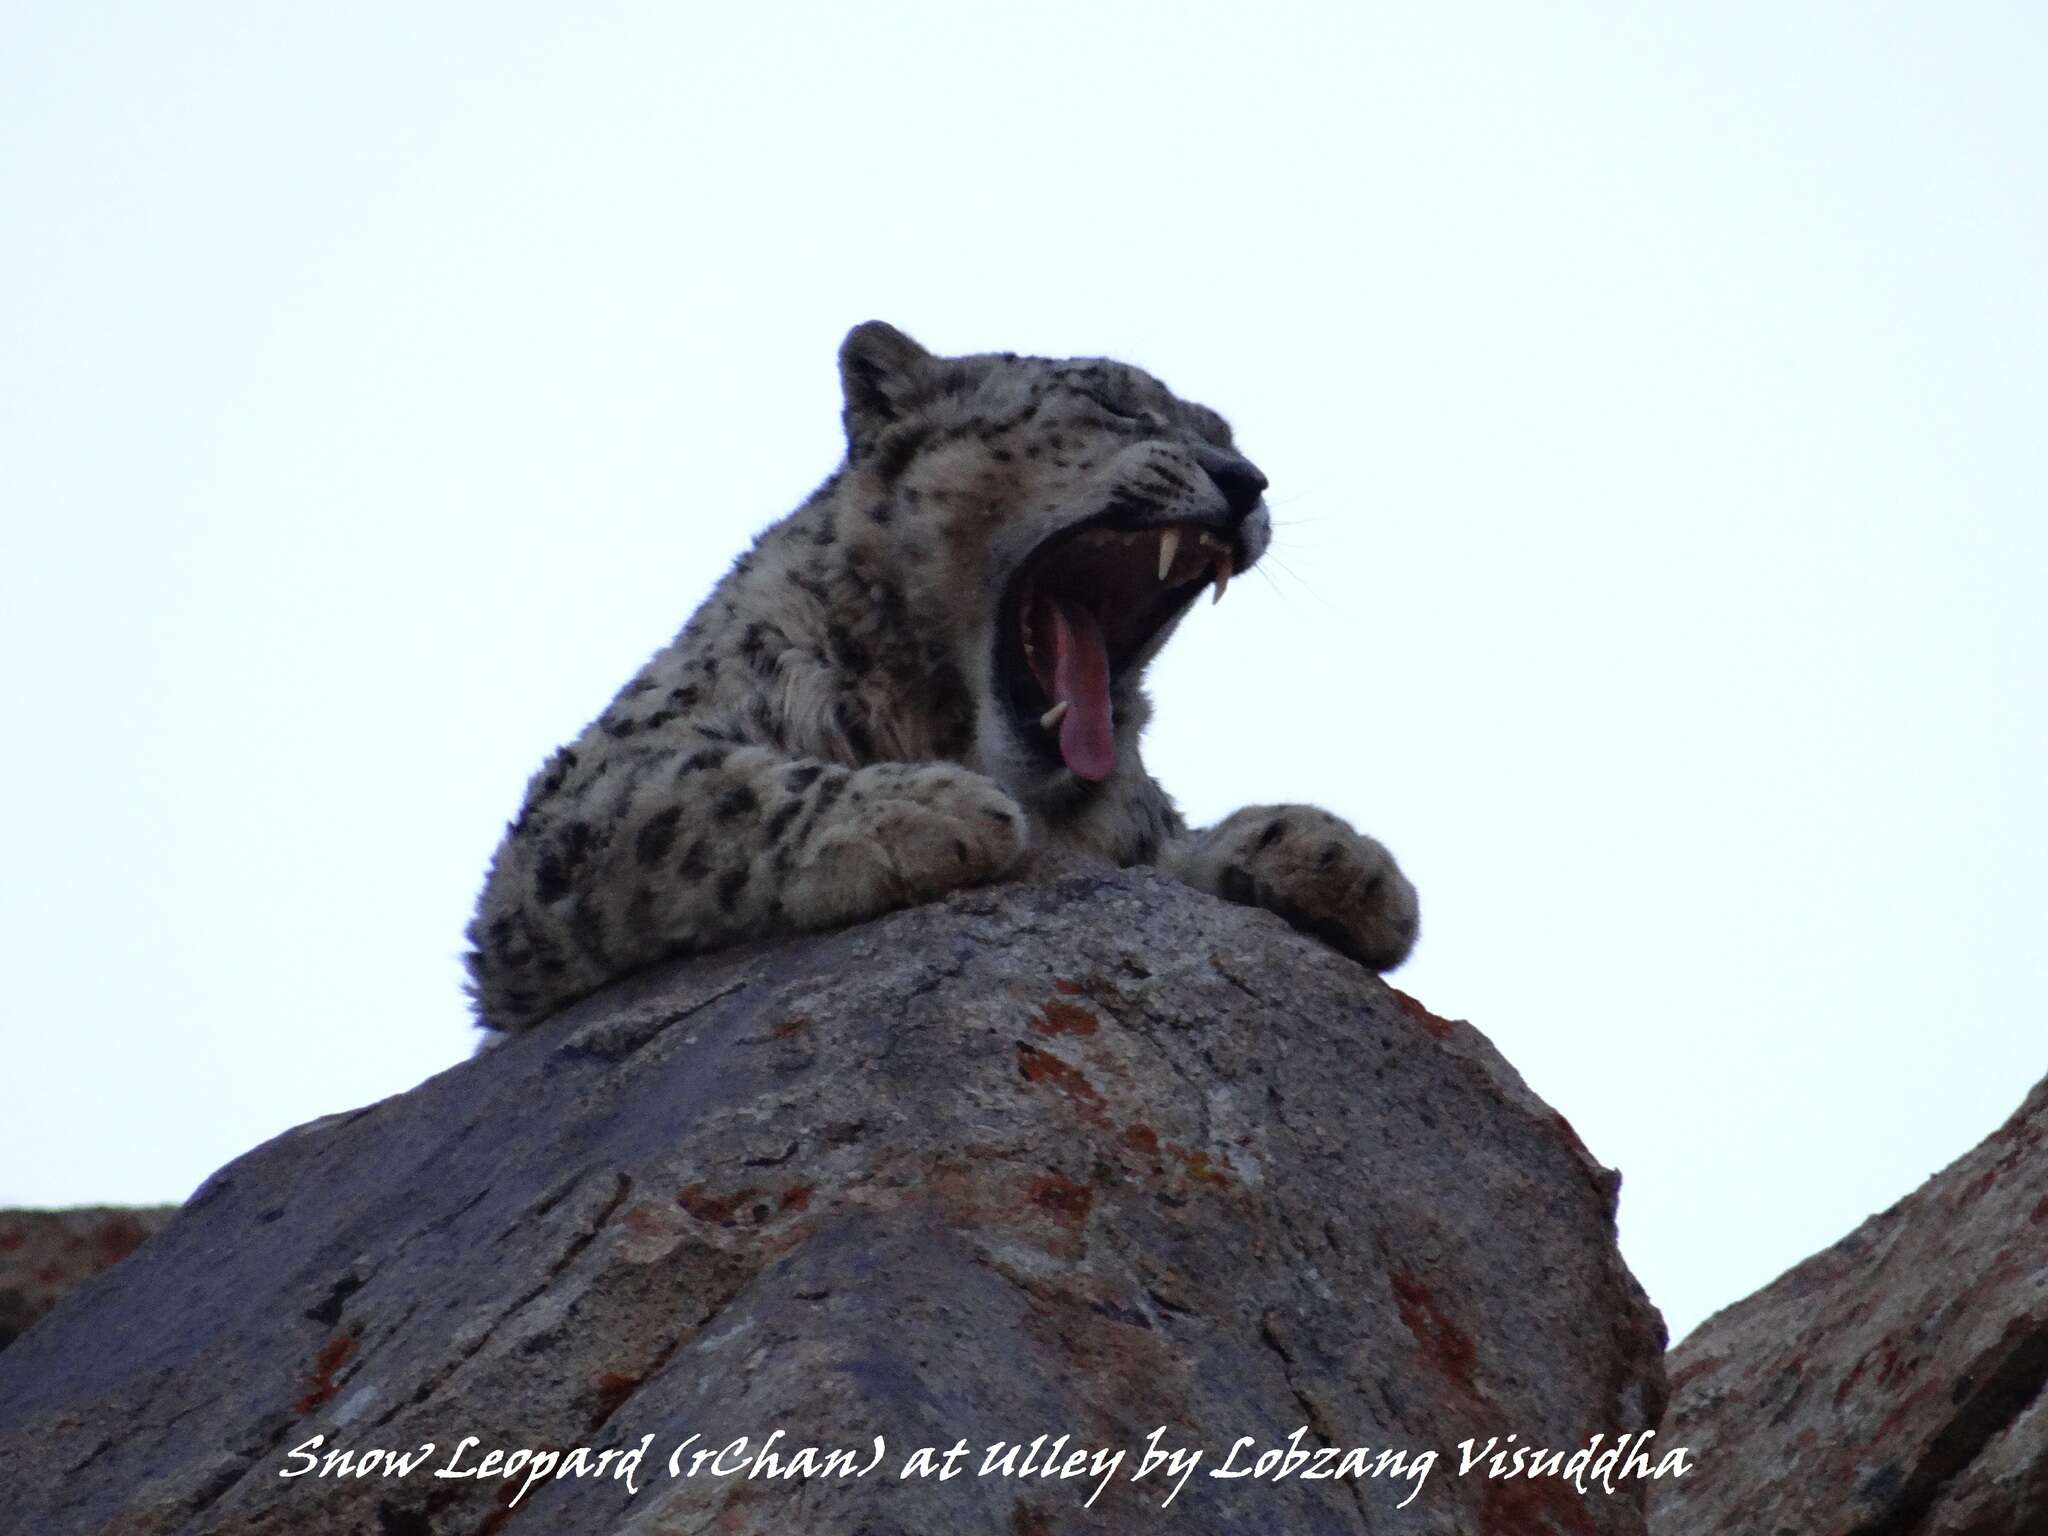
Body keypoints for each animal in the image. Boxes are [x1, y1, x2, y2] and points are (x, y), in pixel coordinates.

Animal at [468, 321, 1417, 1036]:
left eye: (1228, 437)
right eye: (1111, 401)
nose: (1245, 480)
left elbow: (1159, 842)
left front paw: (1332, 856)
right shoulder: (575, 807)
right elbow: (704, 795)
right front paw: (922, 809)